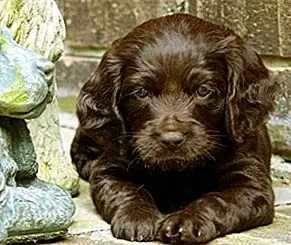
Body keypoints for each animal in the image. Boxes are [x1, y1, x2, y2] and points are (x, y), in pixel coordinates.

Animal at [70, 13, 278, 245]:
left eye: (203, 90)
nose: (171, 139)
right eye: (141, 92)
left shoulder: (250, 184)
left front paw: (187, 221)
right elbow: (126, 189)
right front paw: (138, 217)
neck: (178, 172)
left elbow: (217, 200)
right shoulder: (110, 168)